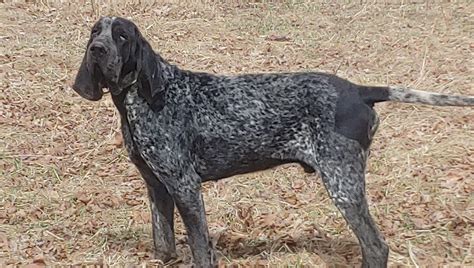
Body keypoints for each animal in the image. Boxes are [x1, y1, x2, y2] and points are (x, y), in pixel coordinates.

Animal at [71, 16, 474, 266]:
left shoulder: (185, 187)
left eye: (121, 36)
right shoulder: (157, 187)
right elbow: (164, 245)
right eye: (94, 33)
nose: (97, 50)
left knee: (376, 248)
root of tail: (358, 90)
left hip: (342, 183)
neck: (143, 98)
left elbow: (201, 249)